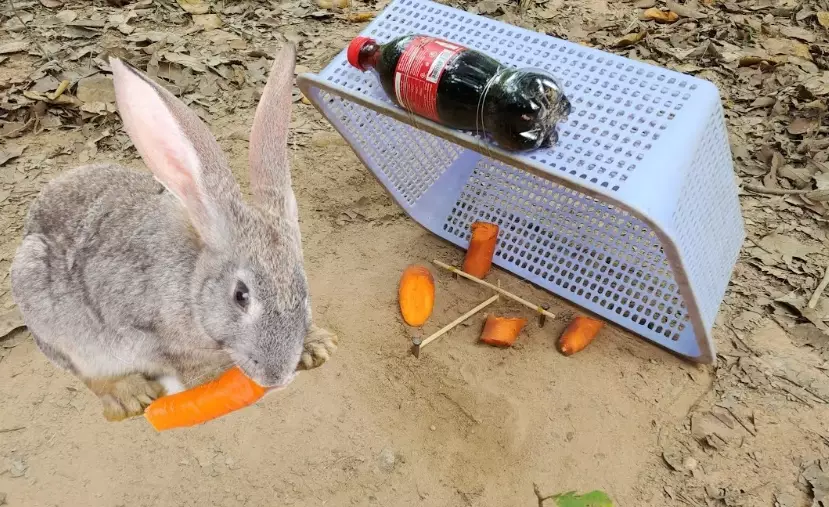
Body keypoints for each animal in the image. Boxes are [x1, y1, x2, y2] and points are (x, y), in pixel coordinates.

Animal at [10, 44, 337, 422]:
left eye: (302, 287)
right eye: (241, 296)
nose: (276, 375)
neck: (193, 284)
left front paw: (318, 345)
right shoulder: (141, 328)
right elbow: (179, 362)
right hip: (52, 315)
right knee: (90, 375)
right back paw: (131, 396)